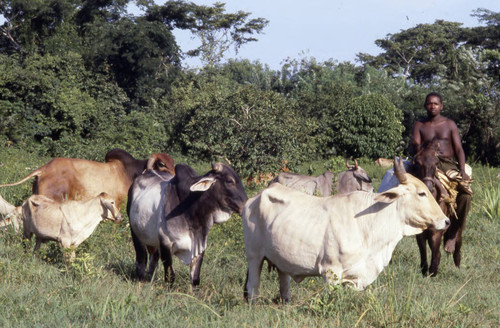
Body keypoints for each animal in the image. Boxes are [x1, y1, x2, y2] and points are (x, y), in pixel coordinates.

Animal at [242, 159, 450, 302]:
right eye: (421, 193)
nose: (446, 221)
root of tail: (256, 196)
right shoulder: (330, 272)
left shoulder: (356, 278)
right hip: (254, 257)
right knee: (253, 287)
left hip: (281, 260)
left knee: (283, 282)